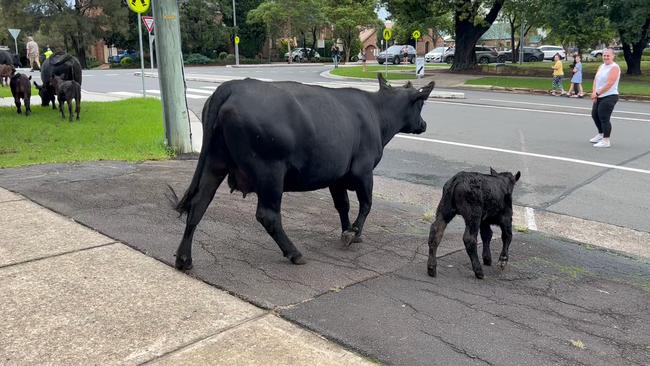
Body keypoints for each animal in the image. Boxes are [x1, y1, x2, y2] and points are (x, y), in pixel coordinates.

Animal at [170, 73, 436, 268]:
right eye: (421, 104)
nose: (424, 124)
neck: (377, 114)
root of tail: (232, 86)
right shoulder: (364, 170)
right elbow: (367, 204)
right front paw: (354, 233)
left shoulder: (337, 176)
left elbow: (343, 205)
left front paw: (347, 230)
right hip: (270, 171)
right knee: (268, 215)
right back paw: (294, 253)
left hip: (215, 163)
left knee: (199, 204)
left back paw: (184, 259)